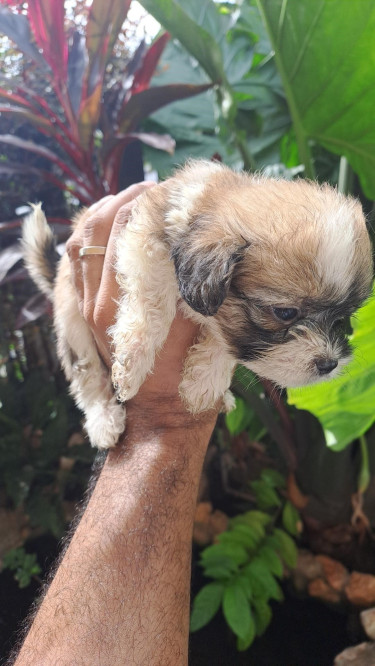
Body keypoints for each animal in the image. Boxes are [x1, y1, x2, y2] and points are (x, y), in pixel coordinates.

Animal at [22, 161, 374, 448]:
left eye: (344, 318)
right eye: (285, 313)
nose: (329, 364)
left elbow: (224, 344)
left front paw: (204, 383)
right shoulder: (145, 236)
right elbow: (153, 302)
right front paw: (133, 361)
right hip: (72, 323)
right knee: (88, 378)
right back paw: (103, 422)